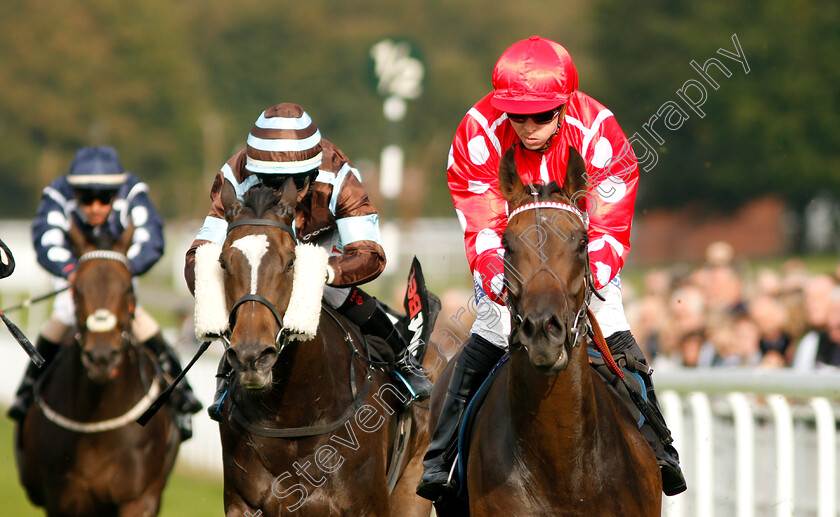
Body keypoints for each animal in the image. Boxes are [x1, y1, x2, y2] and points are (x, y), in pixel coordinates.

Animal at [203, 179, 434, 512]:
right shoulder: (243, 503)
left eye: (291, 262)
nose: (251, 356)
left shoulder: (369, 504)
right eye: (223, 262)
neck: (291, 414)